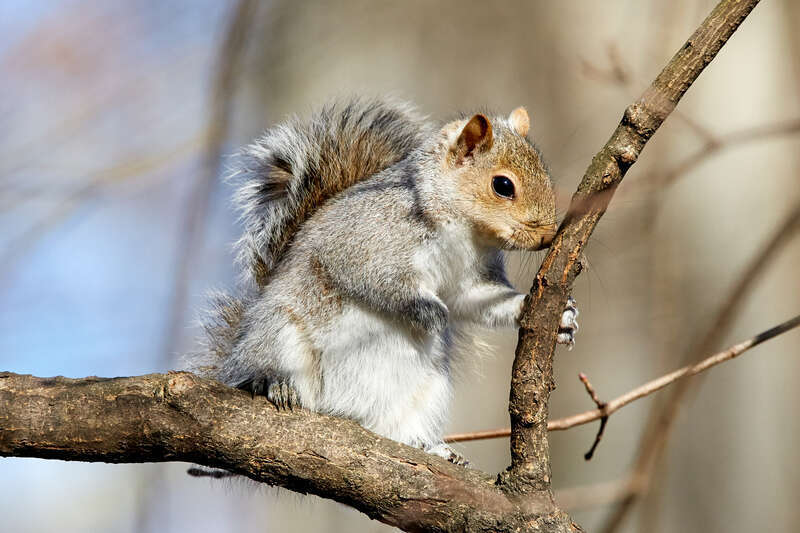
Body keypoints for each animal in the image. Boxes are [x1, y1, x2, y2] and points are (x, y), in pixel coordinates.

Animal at [191, 97, 579, 464]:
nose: (547, 237)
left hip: (428, 390)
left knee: (393, 430)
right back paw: (275, 383)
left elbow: (477, 299)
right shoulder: (363, 242)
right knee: (265, 364)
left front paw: (555, 314)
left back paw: (431, 448)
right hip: (279, 333)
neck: (465, 230)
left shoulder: (470, 278)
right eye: (502, 185)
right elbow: (376, 281)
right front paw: (430, 313)